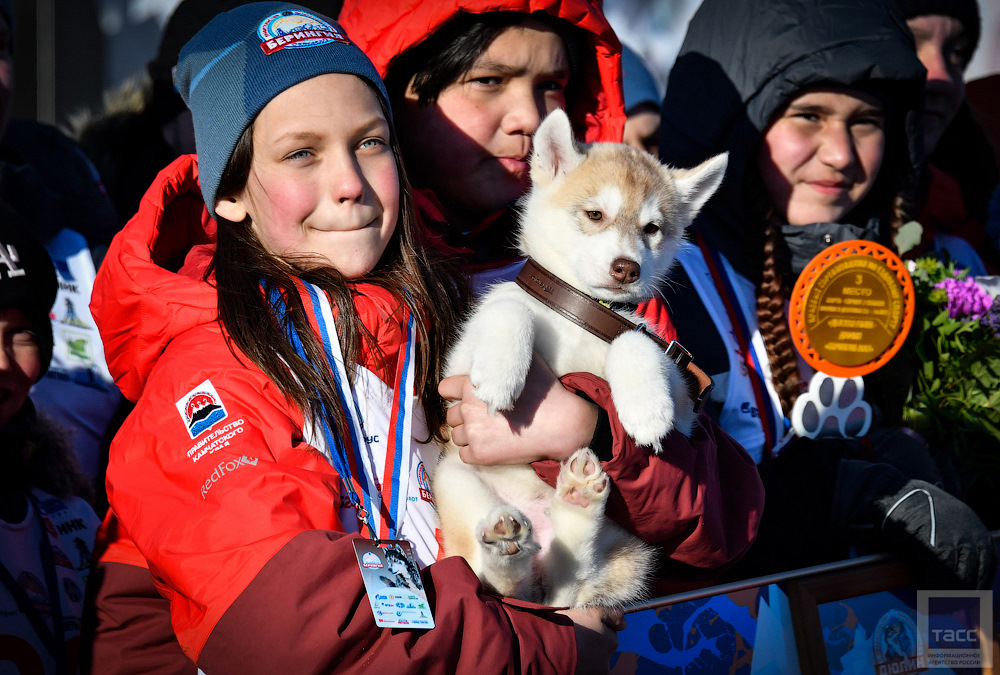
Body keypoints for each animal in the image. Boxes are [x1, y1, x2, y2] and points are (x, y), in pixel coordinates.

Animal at [432, 108, 728, 608]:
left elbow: (636, 340)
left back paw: (577, 499)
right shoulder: (456, 371)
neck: (581, 311)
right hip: (454, 479)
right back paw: (507, 542)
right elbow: (509, 306)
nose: (626, 268)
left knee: (568, 582)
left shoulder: (686, 404)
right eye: (595, 215)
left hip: (631, 544)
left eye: (652, 229)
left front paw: (645, 407)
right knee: (499, 583)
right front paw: (501, 372)